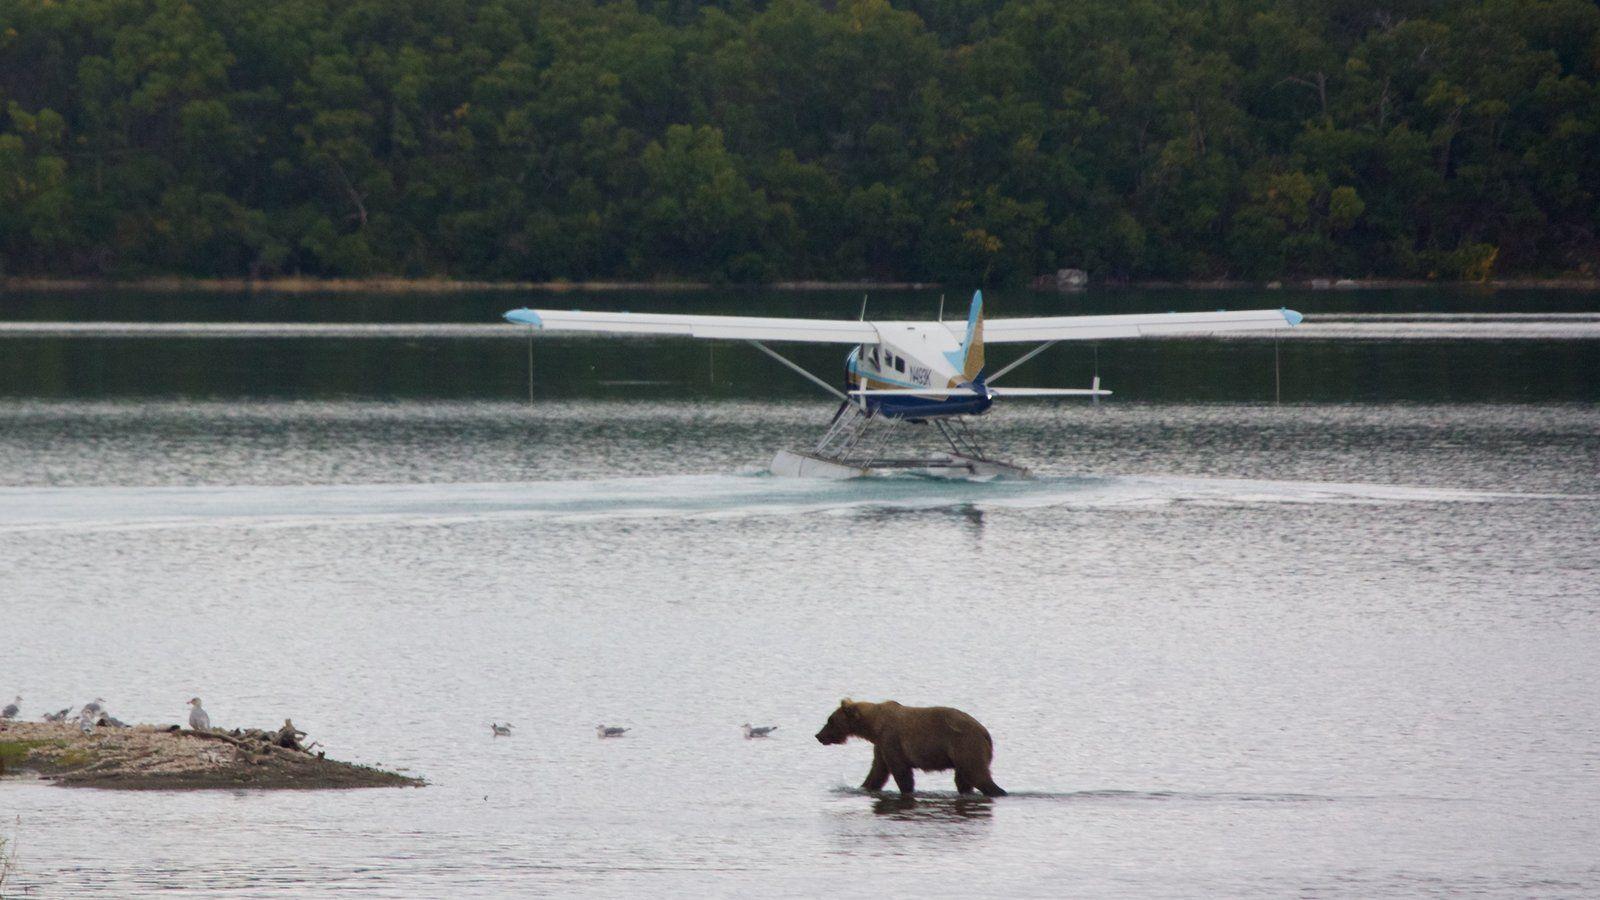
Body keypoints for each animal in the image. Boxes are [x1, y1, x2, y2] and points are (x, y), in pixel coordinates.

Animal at [819, 698, 1004, 794]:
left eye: (830, 720)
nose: (819, 735)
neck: (874, 726)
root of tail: (985, 733)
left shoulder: (891, 740)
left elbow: (901, 772)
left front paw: (906, 788)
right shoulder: (881, 745)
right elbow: (877, 771)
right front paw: (863, 787)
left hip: (965, 745)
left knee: (977, 774)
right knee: (963, 780)